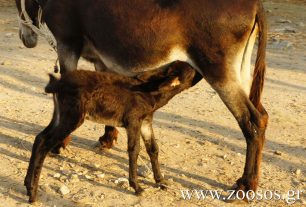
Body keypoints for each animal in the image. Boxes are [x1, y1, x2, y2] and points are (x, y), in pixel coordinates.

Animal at [24, 61, 201, 202]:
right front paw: (137, 187)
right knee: (45, 144)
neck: (150, 90)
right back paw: (33, 193)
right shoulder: (133, 121)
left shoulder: (146, 122)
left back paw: (27, 185)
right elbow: (134, 149)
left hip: (60, 115)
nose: (201, 70)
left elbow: (153, 149)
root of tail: (58, 83)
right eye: (191, 69)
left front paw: (161, 181)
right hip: (72, 117)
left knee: (40, 138)